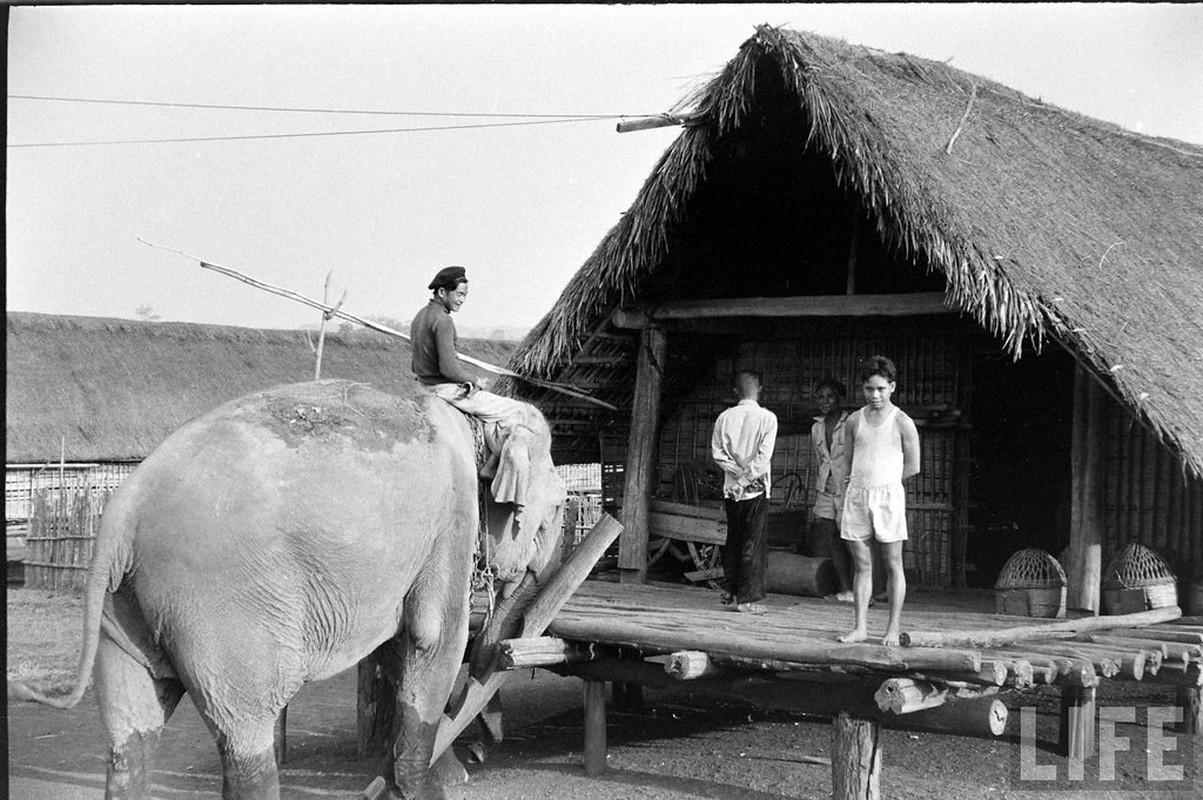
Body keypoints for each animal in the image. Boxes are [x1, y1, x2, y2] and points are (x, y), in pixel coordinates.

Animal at [11, 380, 567, 798]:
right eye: (553, 515)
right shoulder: (450, 526)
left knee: (131, 731)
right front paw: (431, 786)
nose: (484, 746)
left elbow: (397, 649)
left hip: (124, 602)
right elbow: (434, 640)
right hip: (220, 605)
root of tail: (121, 512)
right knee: (244, 732)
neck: (472, 415)